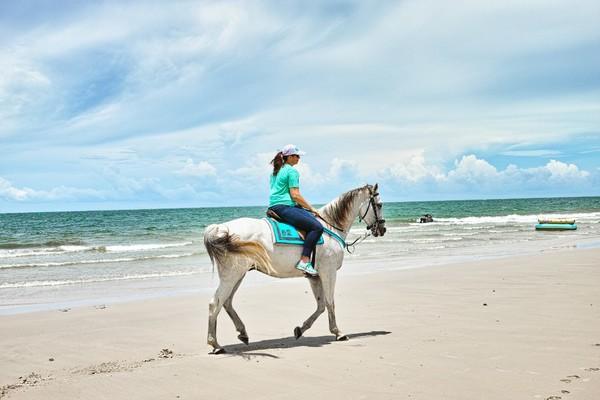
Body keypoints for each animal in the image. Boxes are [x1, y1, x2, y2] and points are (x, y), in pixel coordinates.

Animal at [204, 184, 386, 354]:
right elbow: (330, 303)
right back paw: (216, 345)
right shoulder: (329, 272)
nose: (382, 229)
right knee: (215, 304)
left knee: (227, 302)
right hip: (232, 275)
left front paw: (300, 330)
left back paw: (242, 333)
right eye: (379, 204)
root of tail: (219, 229)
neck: (330, 227)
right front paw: (338, 333)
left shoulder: (315, 277)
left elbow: (321, 306)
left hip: (238, 275)